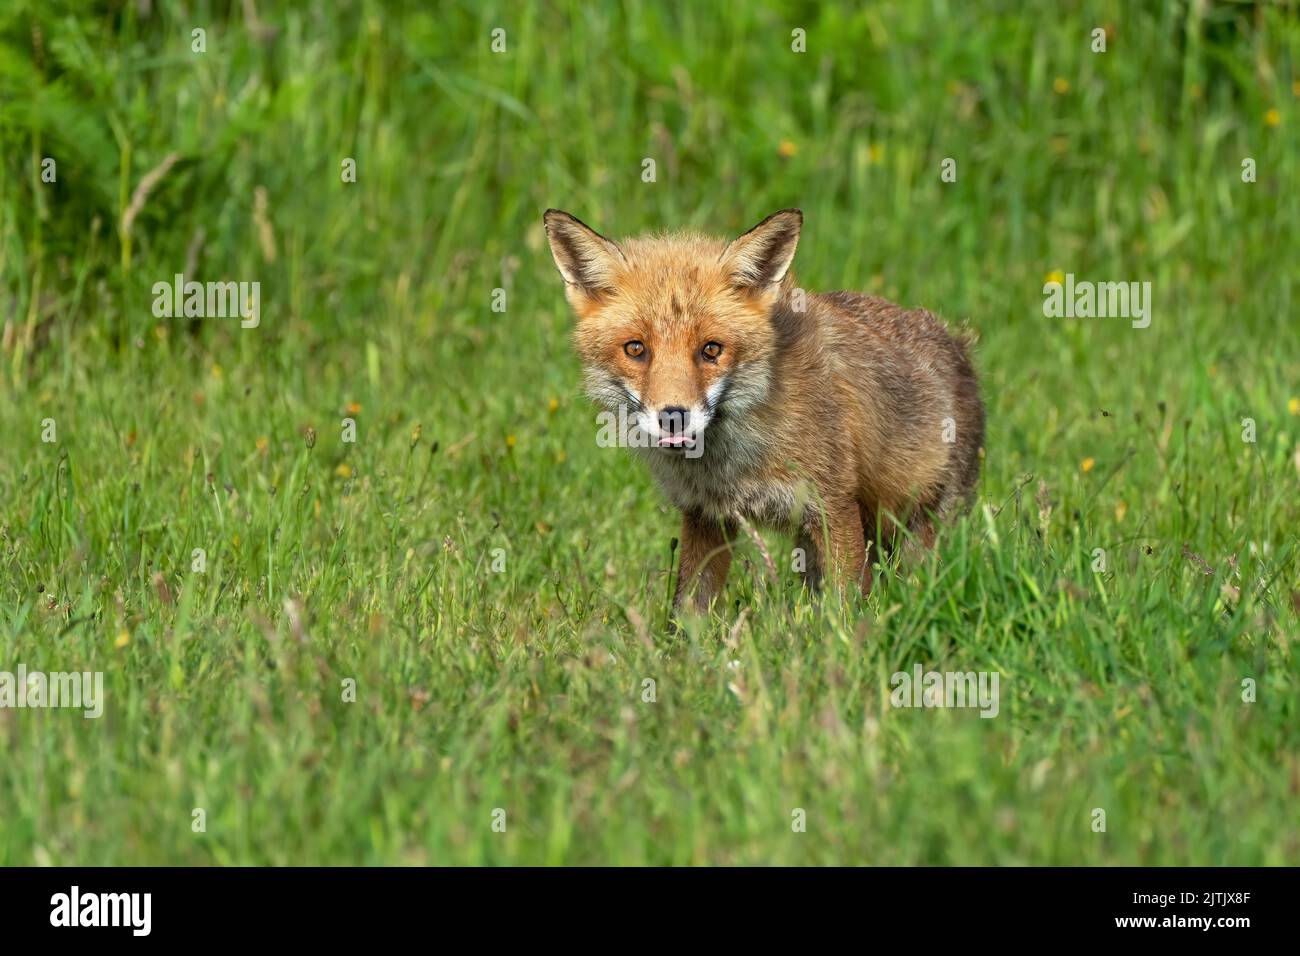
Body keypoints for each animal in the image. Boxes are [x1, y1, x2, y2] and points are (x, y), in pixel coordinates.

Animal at [540, 205, 982, 616]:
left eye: (711, 350)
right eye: (636, 349)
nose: (673, 416)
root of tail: (956, 343)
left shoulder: (833, 504)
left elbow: (845, 606)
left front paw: (845, 644)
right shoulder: (707, 516)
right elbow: (688, 611)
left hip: (922, 528)